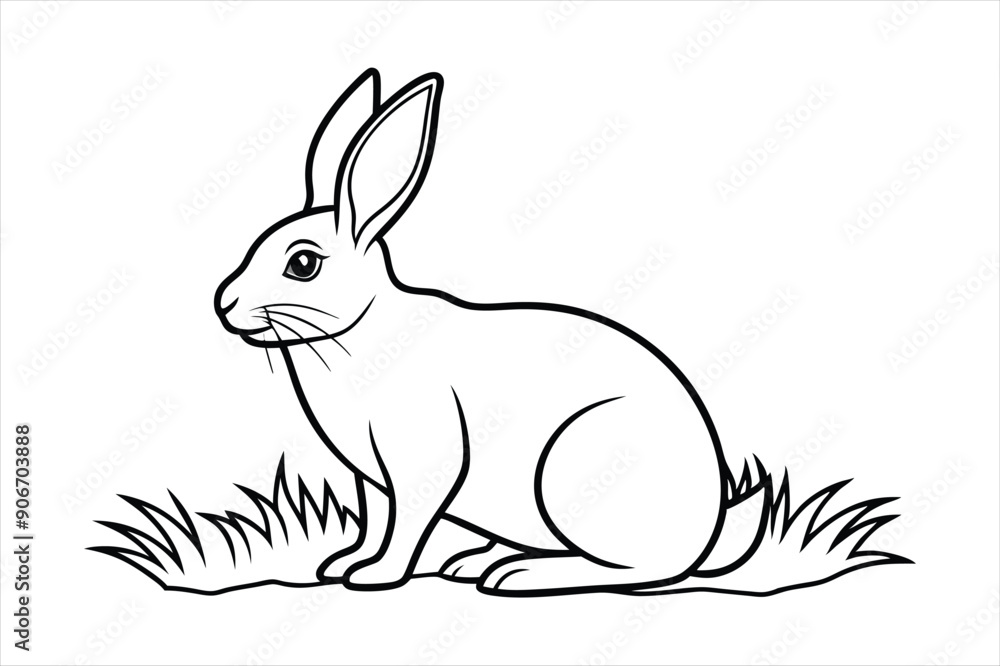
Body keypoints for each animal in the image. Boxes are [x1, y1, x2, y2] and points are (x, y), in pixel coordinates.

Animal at [214, 69, 731, 596]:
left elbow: (407, 520)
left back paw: (517, 576)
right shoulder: (371, 479)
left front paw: (376, 575)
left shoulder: (420, 456)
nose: (223, 304)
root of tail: (707, 526)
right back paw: (473, 563)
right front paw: (343, 565)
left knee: (638, 569)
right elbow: (375, 519)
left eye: (302, 264)